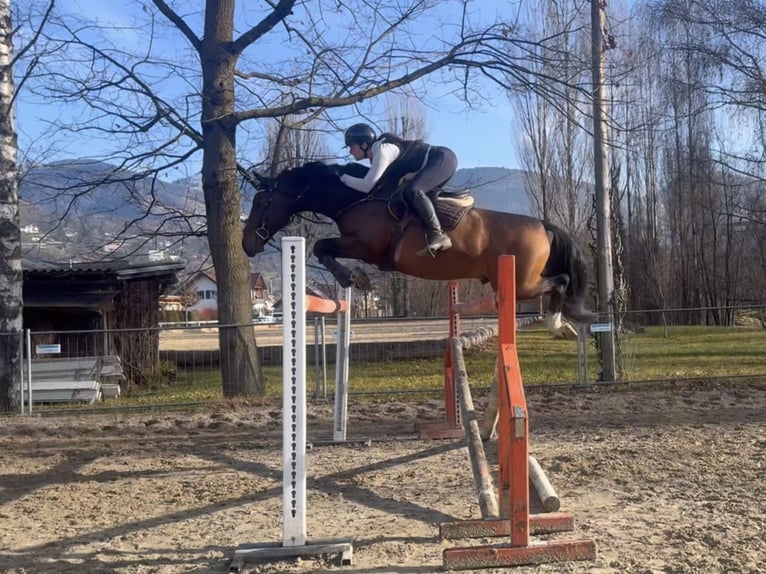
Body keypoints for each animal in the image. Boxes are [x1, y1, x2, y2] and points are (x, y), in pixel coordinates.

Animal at [241, 161, 596, 336]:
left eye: (262, 202)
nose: (247, 244)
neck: (357, 199)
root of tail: (542, 225)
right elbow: (323, 248)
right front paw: (353, 278)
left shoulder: (367, 247)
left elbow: (320, 246)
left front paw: (352, 277)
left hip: (519, 284)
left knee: (562, 281)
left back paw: (557, 323)